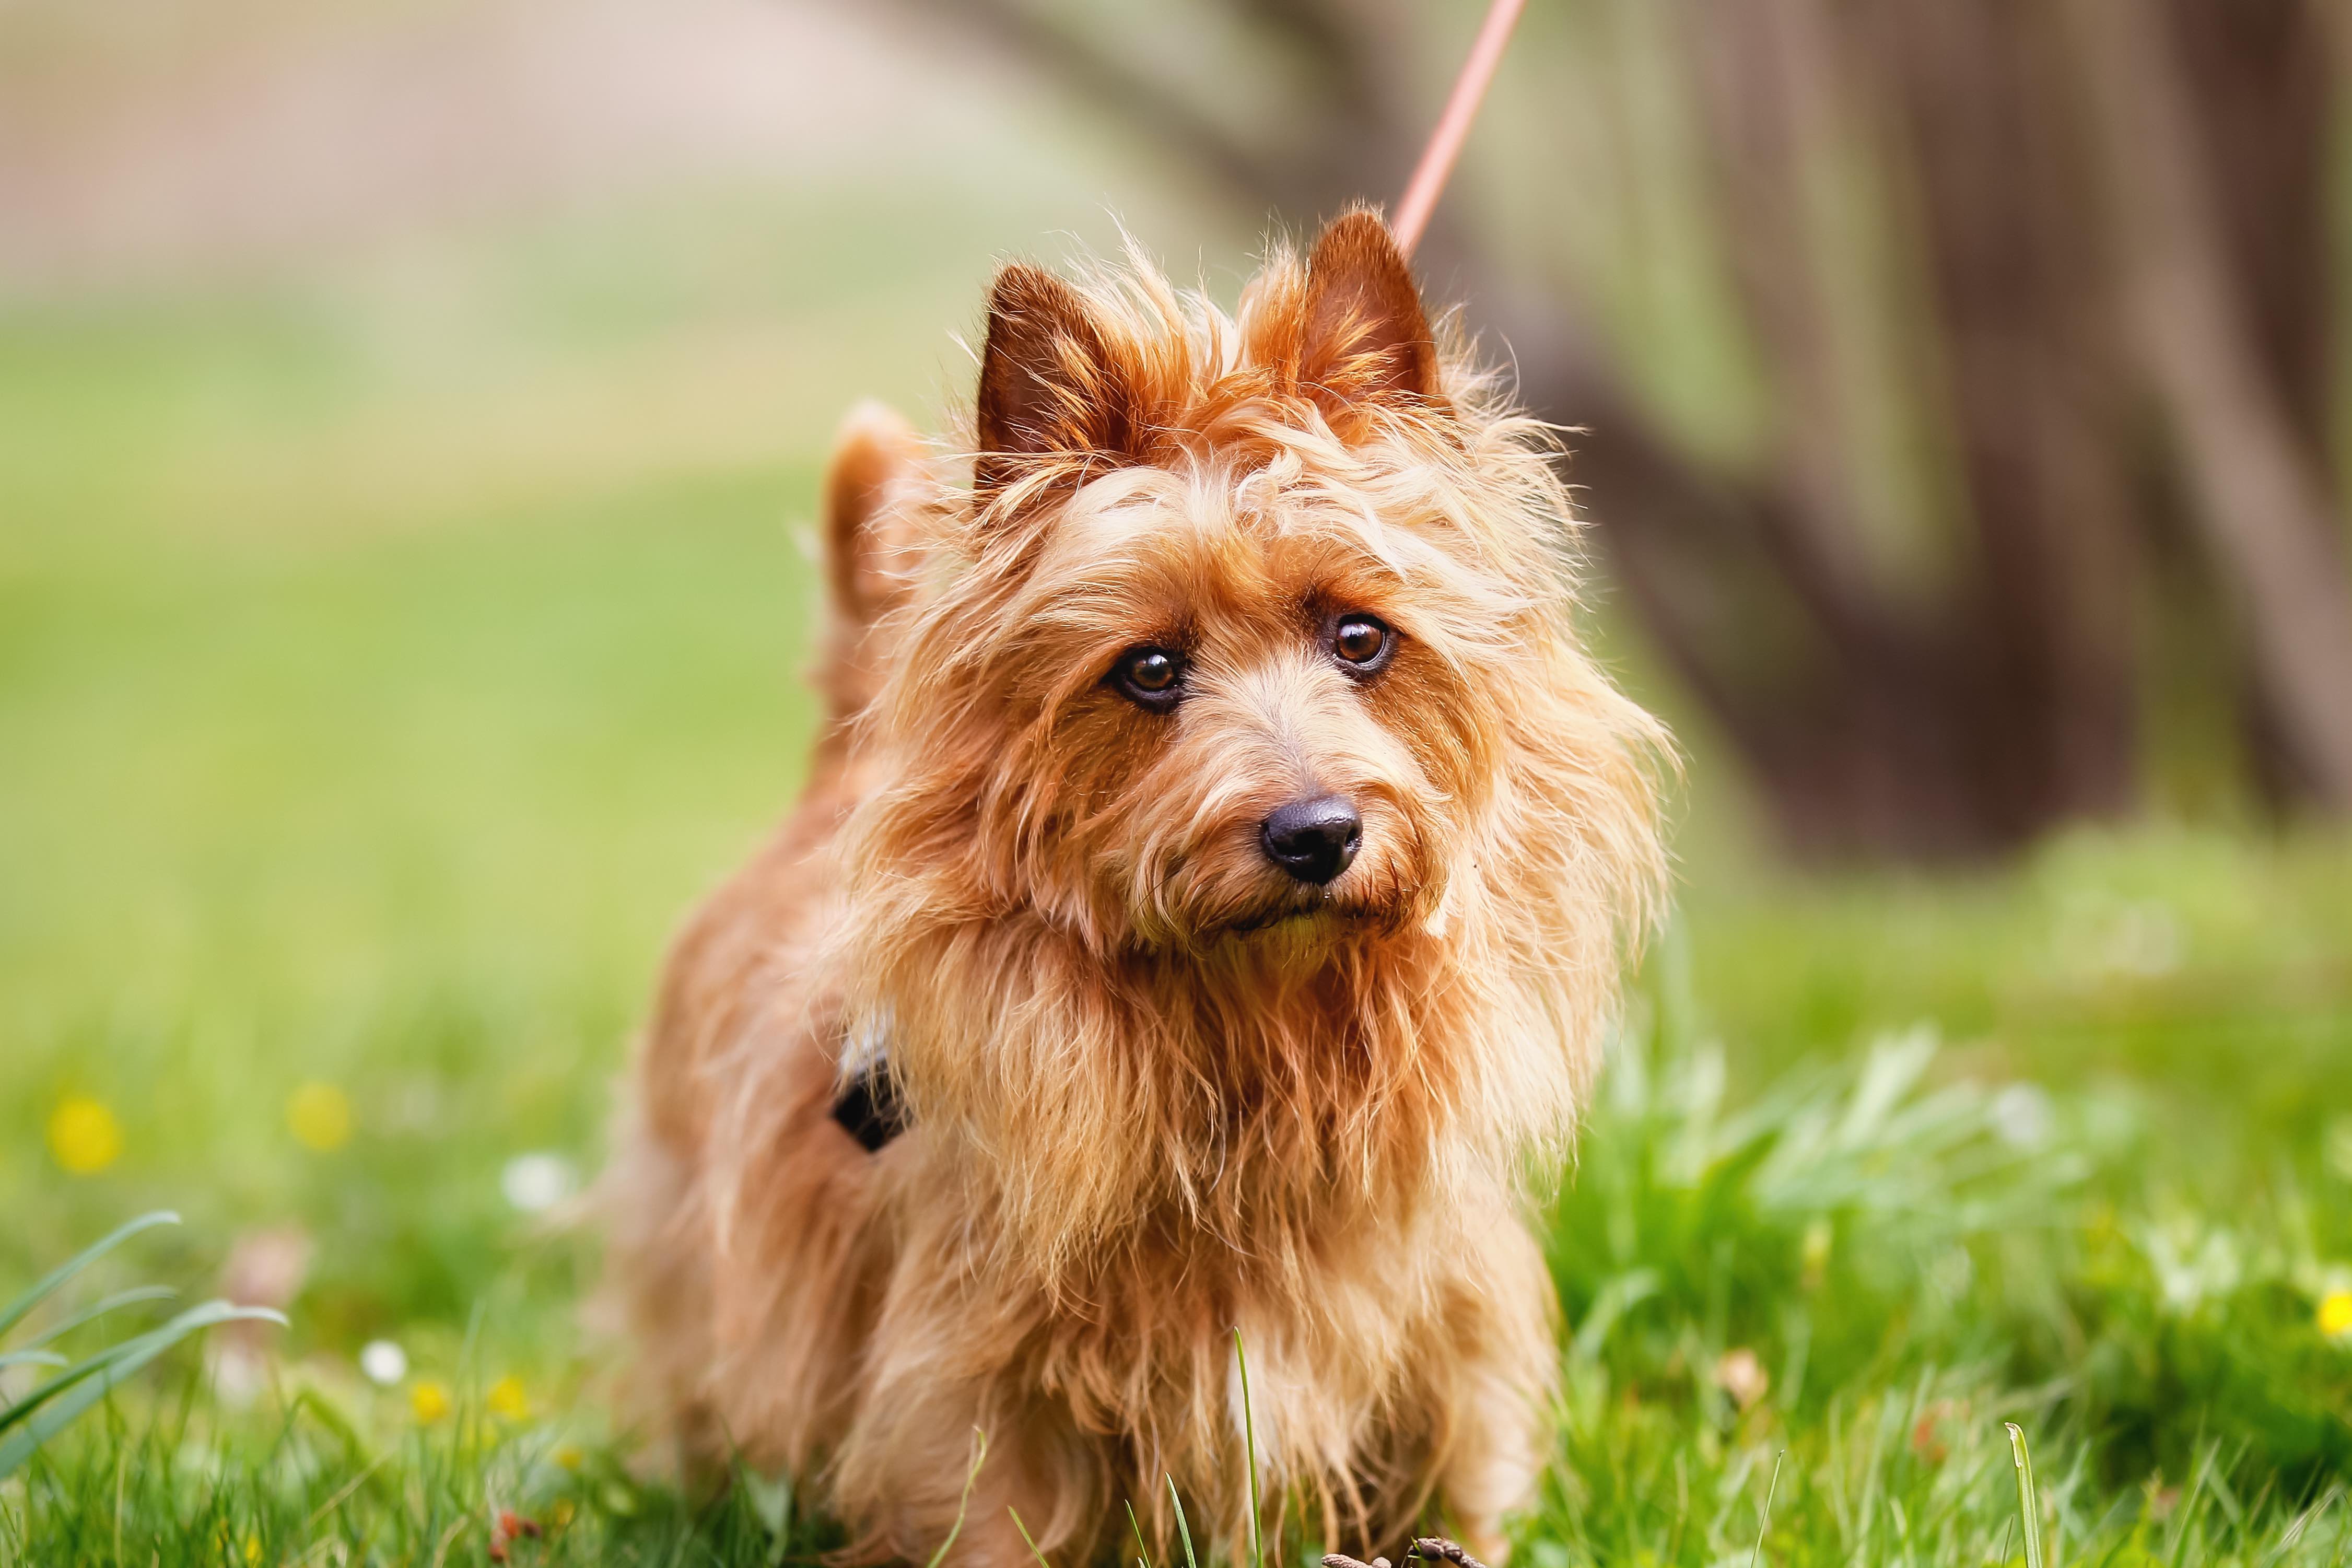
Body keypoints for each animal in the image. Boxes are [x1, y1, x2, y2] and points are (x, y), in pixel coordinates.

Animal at [606, 208, 1675, 1568]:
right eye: (1149, 669)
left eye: (1360, 636)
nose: (1317, 831)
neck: (1252, 1034)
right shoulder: (971, 1377)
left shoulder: (1443, 1338)